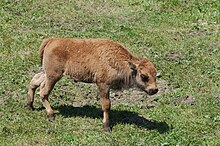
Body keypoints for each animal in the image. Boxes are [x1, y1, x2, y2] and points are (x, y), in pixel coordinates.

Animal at [27, 38, 158, 132]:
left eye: (155, 74)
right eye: (144, 76)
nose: (154, 90)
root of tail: (51, 40)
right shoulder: (103, 85)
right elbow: (106, 105)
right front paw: (106, 127)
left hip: (48, 73)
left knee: (35, 81)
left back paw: (29, 105)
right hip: (54, 76)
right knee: (44, 92)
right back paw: (51, 115)